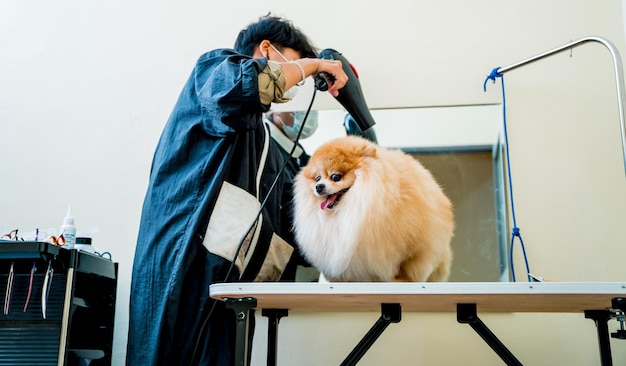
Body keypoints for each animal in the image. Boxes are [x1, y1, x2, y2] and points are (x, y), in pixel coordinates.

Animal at [290, 136, 450, 282]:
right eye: (317, 178)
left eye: (336, 177)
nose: (318, 187)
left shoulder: (409, 246)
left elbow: (405, 265)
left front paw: (401, 278)